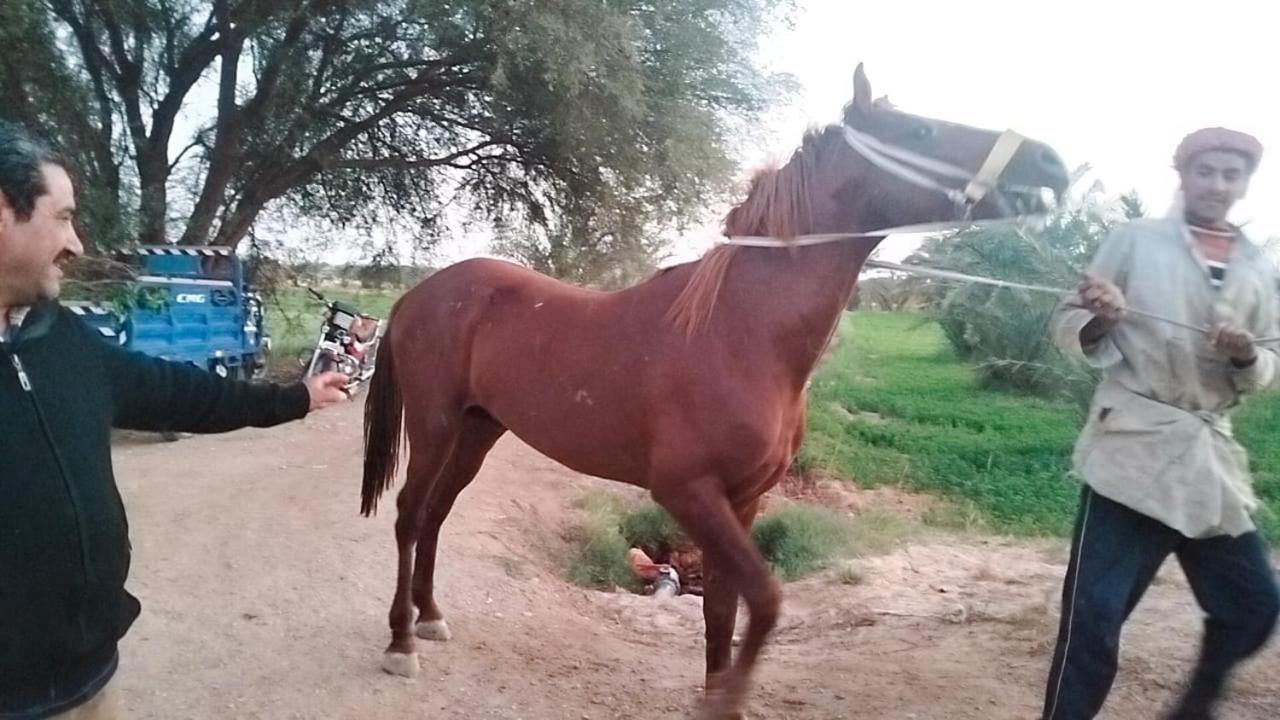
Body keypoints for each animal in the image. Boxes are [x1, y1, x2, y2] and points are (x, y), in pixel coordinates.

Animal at [360, 64, 1070, 712]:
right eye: (920, 129)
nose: (1053, 162)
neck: (741, 330)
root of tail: (420, 293)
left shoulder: (744, 499)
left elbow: (724, 612)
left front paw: (718, 694)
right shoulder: (688, 492)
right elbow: (766, 600)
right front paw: (724, 699)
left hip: (478, 429)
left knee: (436, 514)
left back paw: (430, 615)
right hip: (435, 424)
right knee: (409, 514)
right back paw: (400, 643)